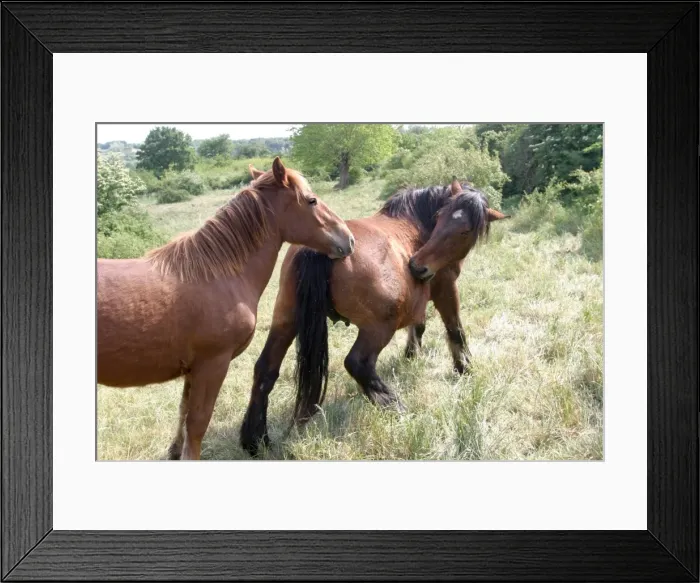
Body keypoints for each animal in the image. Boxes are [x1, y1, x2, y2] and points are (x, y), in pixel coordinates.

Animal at [97, 157, 354, 460]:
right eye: (311, 200)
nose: (348, 239)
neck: (217, 274)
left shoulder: (193, 371)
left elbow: (183, 417)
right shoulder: (213, 364)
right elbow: (197, 424)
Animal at [240, 178, 508, 456]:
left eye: (463, 230)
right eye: (439, 218)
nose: (417, 266)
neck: (416, 224)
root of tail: (321, 250)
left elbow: (418, 326)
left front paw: (412, 354)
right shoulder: (446, 288)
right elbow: (455, 329)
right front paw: (464, 367)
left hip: (286, 321)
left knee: (265, 369)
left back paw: (255, 440)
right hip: (378, 329)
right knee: (358, 363)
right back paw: (393, 405)